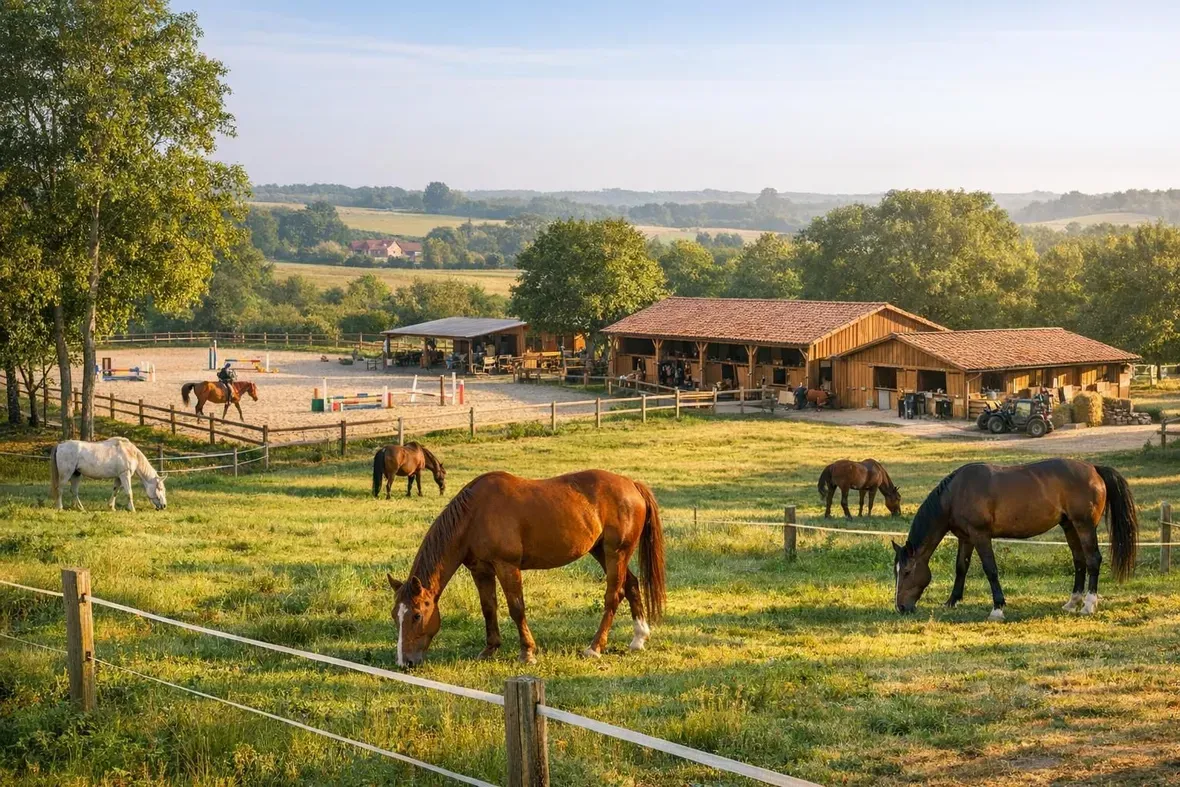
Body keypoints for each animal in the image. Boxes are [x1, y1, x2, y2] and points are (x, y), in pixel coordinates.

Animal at [386, 469, 666, 667]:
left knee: (613, 596)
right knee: (631, 585)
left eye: (416, 615)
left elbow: (516, 608)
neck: (474, 514)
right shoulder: (481, 570)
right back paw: (639, 638)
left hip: (615, 553)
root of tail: (632, 485)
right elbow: (488, 608)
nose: (404, 662)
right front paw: (490, 649)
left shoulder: (507, 567)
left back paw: (595, 647)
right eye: (394, 615)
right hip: (602, 552)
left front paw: (527, 653)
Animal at [893, 459, 1138, 621]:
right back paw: (1072, 602)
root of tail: (1094, 469)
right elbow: (961, 567)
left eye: (906, 572)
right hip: (1069, 526)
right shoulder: (966, 538)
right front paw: (952, 601)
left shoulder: (981, 536)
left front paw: (997, 608)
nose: (901, 607)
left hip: (1084, 526)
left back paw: (1089, 604)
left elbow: (990, 569)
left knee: (1093, 559)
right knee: (1079, 561)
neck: (956, 493)